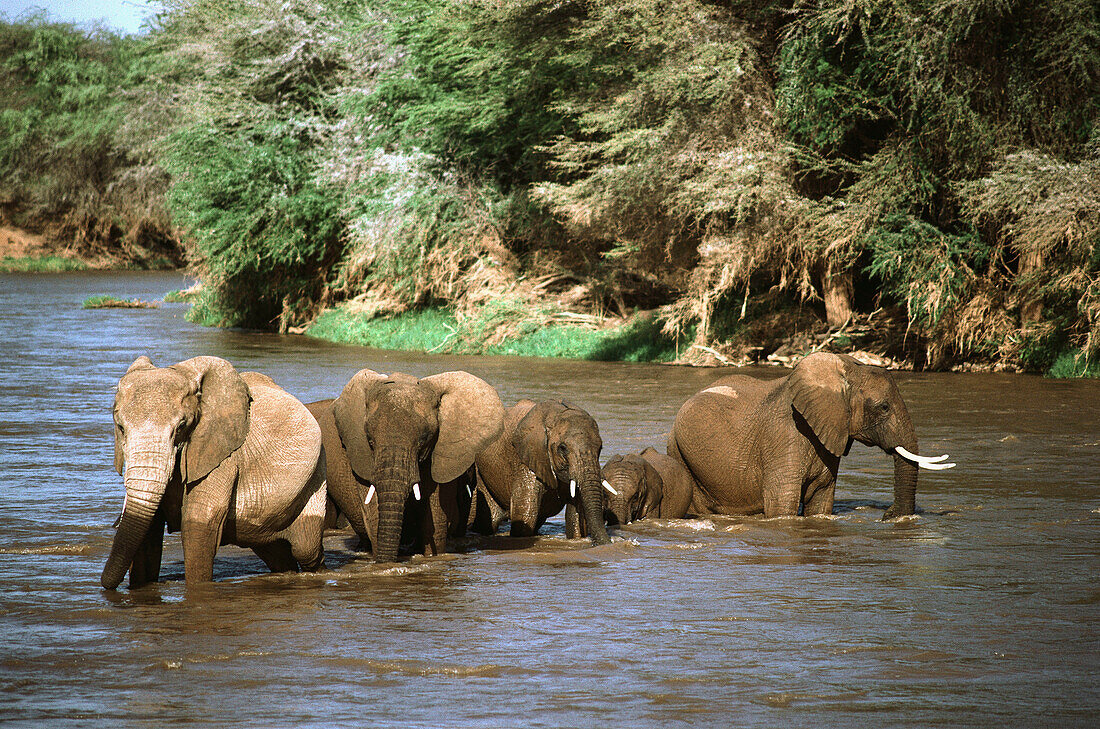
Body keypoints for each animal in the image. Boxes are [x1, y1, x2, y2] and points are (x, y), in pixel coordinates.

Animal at [102, 356, 325, 589]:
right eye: (120, 427)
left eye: (181, 426)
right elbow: (148, 532)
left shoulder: (222, 456)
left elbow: (198, 522)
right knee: (275, 552)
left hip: (317, 473)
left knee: (306, 549)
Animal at [473, 400, 616, 547]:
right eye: (563, 448)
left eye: (600, 448)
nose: (608, 543)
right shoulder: (528, 458)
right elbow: (525, 514)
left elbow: (576, 515)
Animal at [664, 351, 950, 518]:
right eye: (884, 407)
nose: (887, 515)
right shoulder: (784, 435)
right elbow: (782, 503)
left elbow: (821, 499)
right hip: (679, 452)